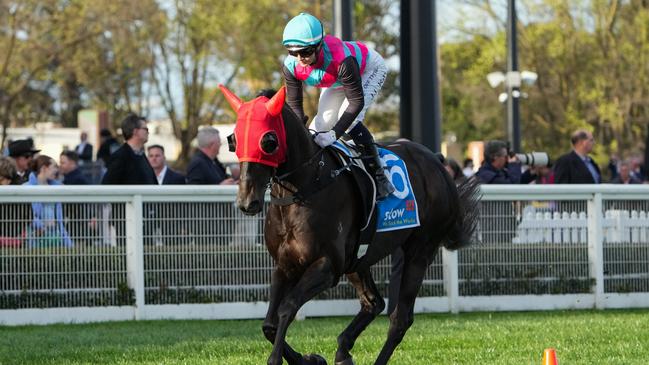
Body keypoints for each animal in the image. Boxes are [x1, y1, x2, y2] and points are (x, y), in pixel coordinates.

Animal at [220, 84, 478, 364]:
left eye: (268, 141)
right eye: (234, 140)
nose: (247, 201)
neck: (306, 187)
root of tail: (438, 162)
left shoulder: (327, 266)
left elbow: (286, 309)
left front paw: (282, 359)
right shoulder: (285, 264)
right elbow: (268, 324)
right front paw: (309, 358)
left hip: (421, 250)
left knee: (400, 318)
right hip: (358, 258)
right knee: (374, 302)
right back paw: (344, 349)